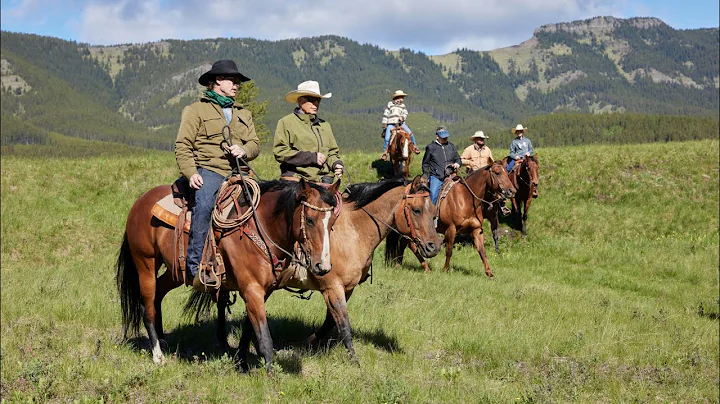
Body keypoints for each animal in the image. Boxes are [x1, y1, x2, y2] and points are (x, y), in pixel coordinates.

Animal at [116, 178, 340, 372]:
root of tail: (141, 201)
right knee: (147, 308)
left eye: (332, 223)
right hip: (145, 263)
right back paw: (157, 355)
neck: (262, 227)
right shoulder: (252, 289)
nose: (323, 266)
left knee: (158, 296)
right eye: (309, 220)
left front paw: (241, 363)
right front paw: (270, 373)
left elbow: (250, 329)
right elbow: (264, 336)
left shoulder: (262, 291)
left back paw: (163, 341)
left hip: (174, 272)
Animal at [188, 175, 442, 364]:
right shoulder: (332, 287)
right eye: (417, 210)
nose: (434, 246)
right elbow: (343, 324)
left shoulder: (346, 288)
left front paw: (309, 342)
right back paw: (223, 341)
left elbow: (331, 321)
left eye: (433, 208)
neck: (354, 230)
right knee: (221, 301)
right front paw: (354, 361)